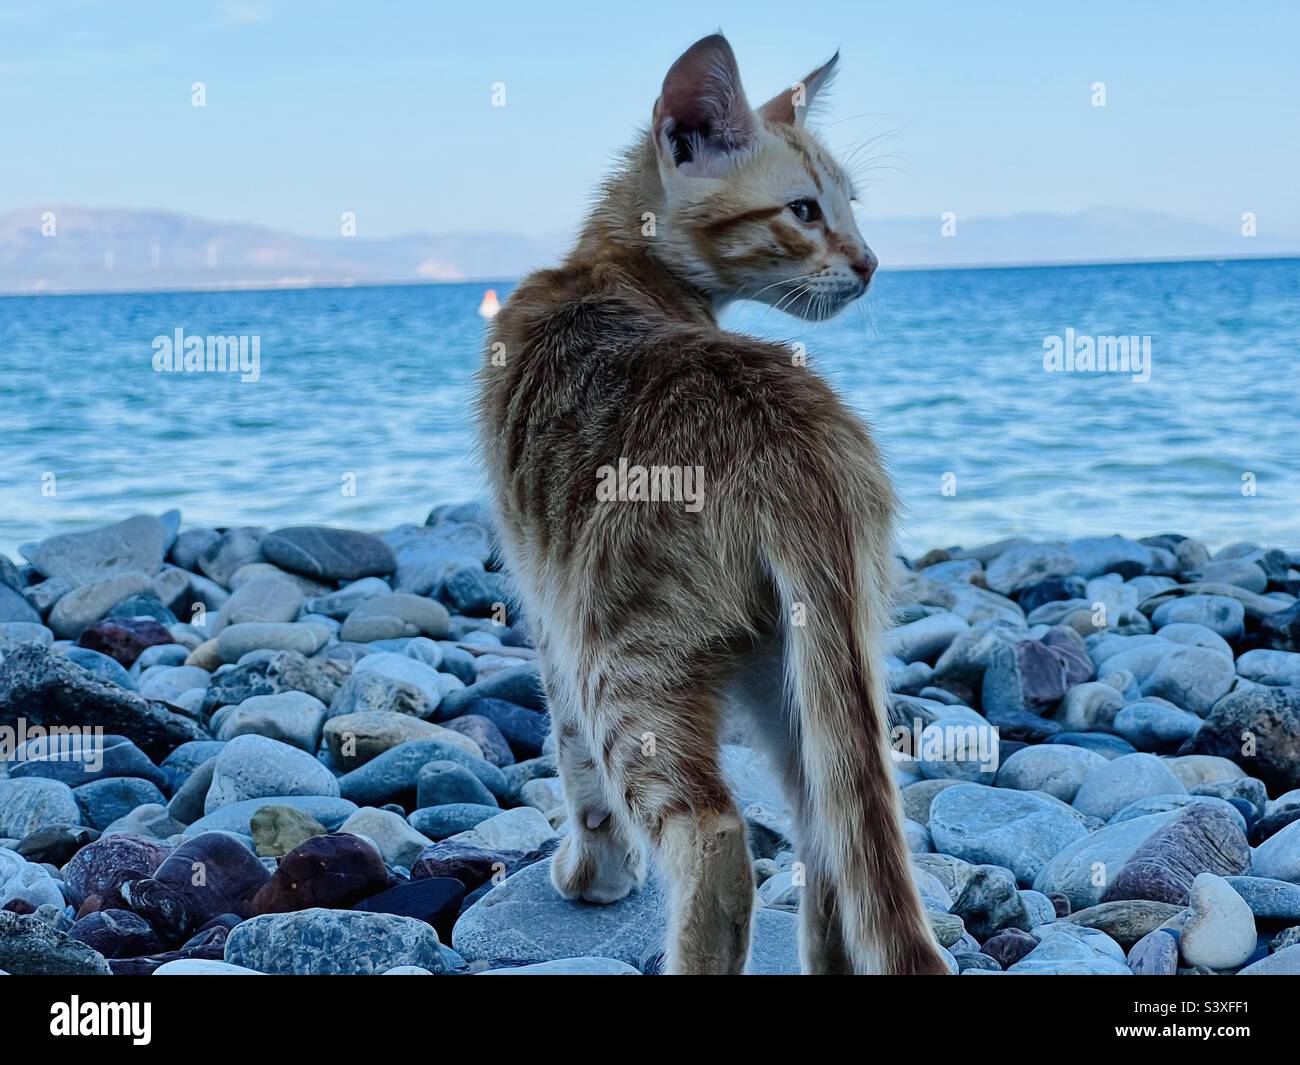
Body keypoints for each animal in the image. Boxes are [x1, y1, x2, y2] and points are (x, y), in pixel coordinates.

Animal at [475, 31, 946, 972]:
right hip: (804, 665)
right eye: (806, 209)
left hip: (622, 654)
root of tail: (795, 440)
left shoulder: (544, 600)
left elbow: (569, 754)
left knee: (716, 838)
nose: (870, 263)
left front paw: (594, 871)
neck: (607, 265)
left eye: (850, 206)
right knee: (828, 827)